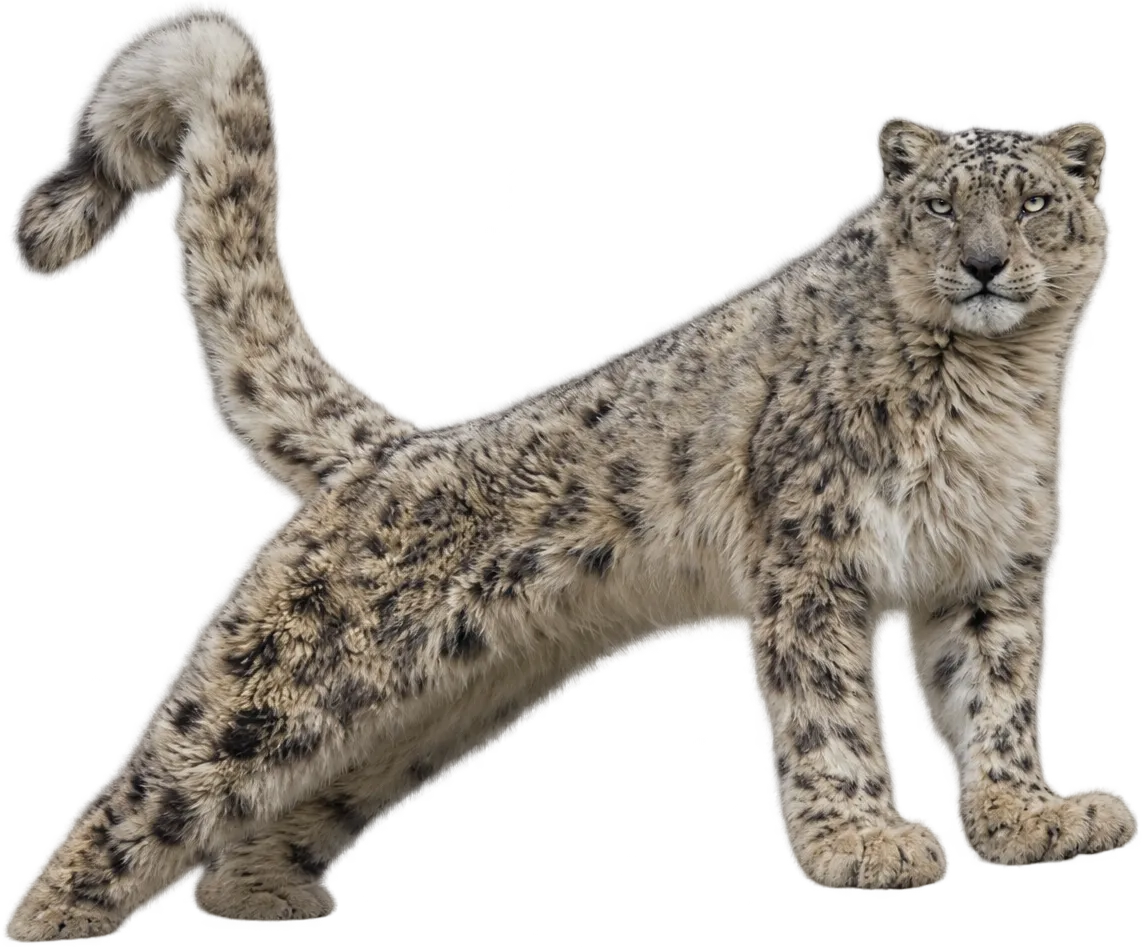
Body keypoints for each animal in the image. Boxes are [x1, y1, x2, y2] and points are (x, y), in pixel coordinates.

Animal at [8, 15, 1132, 941]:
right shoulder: (812, 554)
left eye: (1035, 202)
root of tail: (392, 451)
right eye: (940, 206)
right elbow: (827, 710)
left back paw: (257, 890)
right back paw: (49, 918)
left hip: (422, 713)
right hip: (280, 683)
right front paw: (862, 837)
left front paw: (1029, 812)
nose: (984, 264)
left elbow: (997, 695)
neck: (992, 382)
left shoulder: (992, 562)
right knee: (146, 796)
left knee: (282, 807)